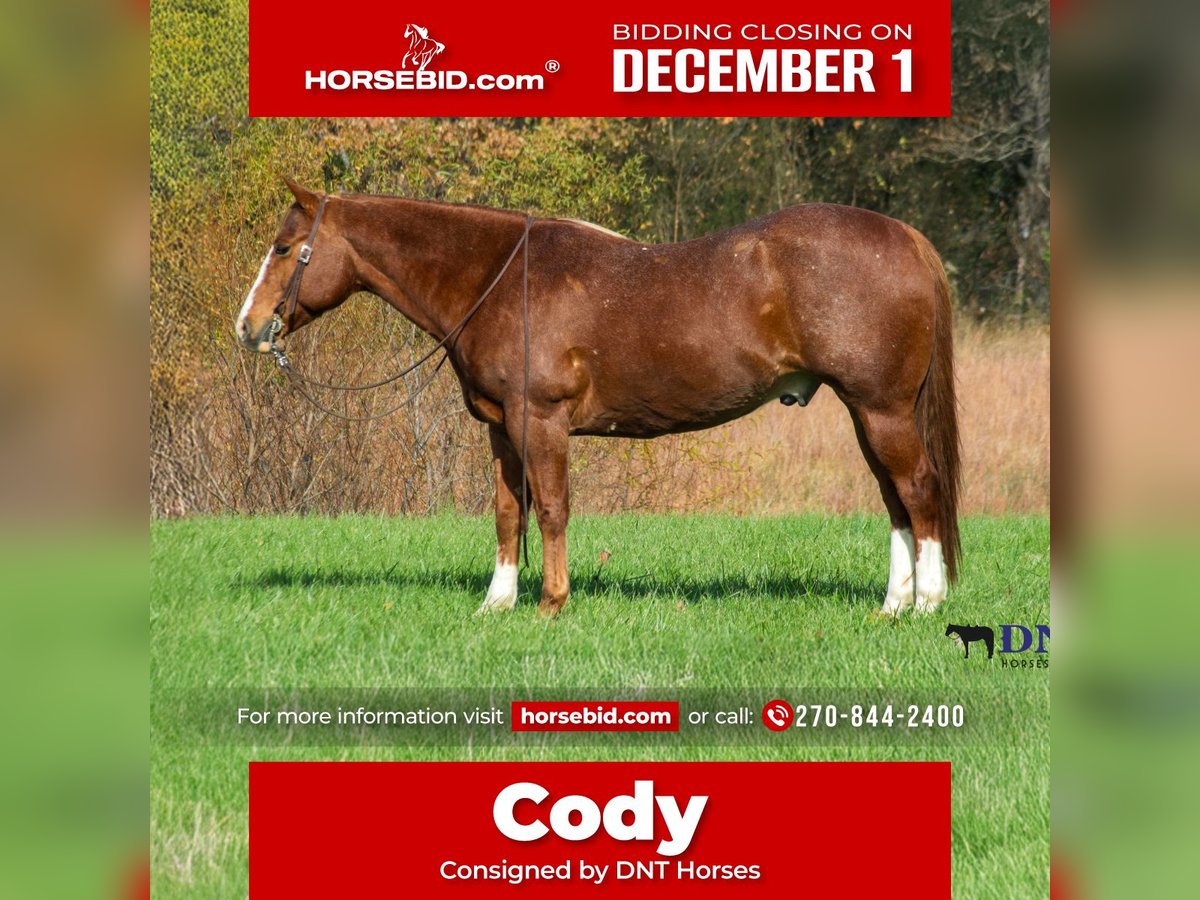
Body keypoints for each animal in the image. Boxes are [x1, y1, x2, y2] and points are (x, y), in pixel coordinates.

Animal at [236, 179, 961, 618]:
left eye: (285, 248)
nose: (248, 326)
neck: (502, 277)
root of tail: (906, 237)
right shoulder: (501, 428)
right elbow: (509, 513)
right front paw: (498, 603)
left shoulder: (541, 421)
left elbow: (553, 510)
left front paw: (552, 602)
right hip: (868, 414)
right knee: (895, 499)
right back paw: (893, 604)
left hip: (882, 410)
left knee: (920, 489)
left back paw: (928, 601)